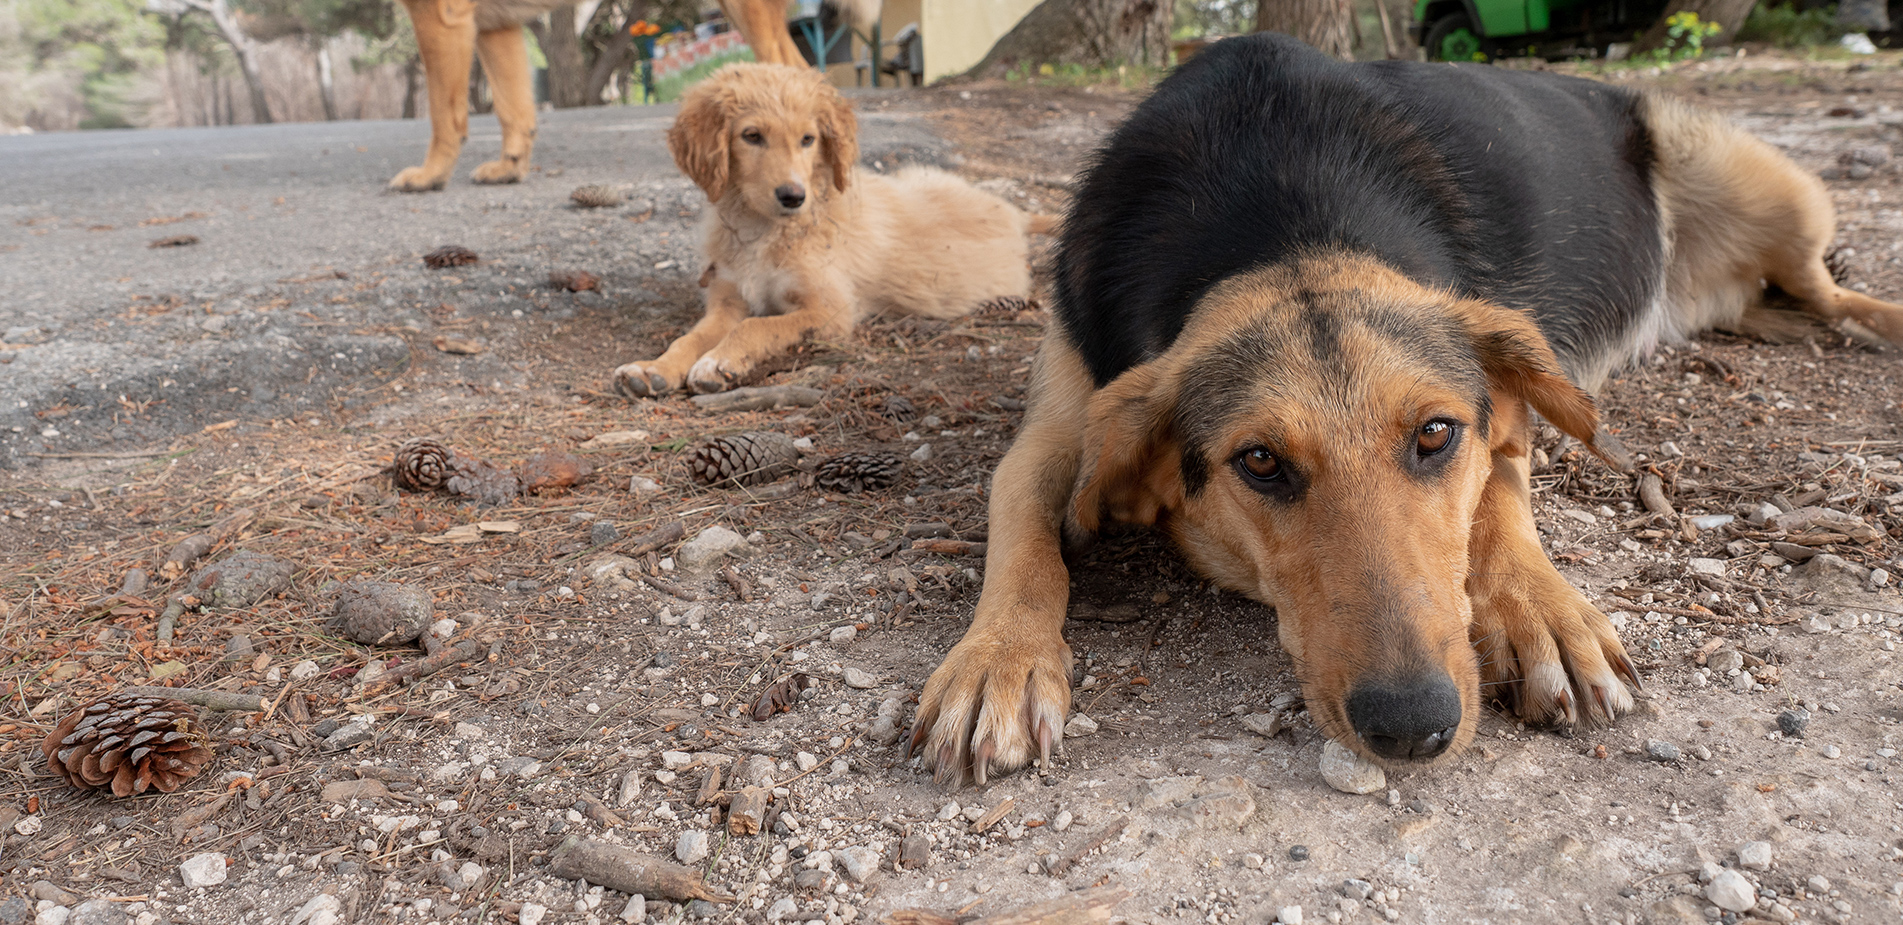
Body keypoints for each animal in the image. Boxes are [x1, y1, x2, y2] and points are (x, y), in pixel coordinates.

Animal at [392, 0, 875, 192]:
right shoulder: (497, 27)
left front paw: (430, 175)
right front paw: (509, 166)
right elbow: (515, 111)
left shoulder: (440, 16)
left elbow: (444, 114)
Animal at [616, 64, 1050, 397]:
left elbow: (758, 325)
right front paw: (653, 368)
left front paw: (719, 361)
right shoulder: (727, 300)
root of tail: (1014, 214)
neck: (765, 232)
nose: (793, 196)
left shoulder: (832, 310)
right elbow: (689, 336)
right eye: (751, 136)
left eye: (808, 139)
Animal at [905, 34, 1903, 780]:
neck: (1283, 209)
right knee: (1778, 304)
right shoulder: (1059, 411)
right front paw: (998, 657)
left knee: (1823, 288)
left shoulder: (1500, 410)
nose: (1413, 727)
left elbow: (1499, 493)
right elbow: (1022, 521)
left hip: (1771, 188)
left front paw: (1541, 610)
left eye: (1433, 434)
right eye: (1259, 462)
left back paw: (1879, 321)